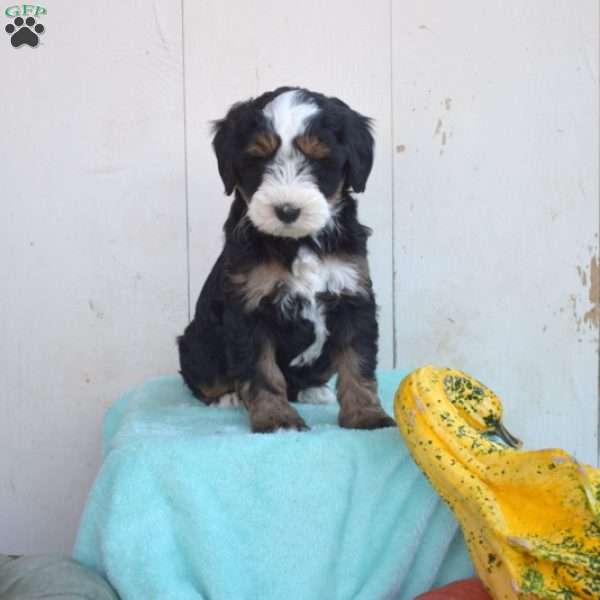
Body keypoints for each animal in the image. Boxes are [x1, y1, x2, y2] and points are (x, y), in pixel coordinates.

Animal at [176, 85, 396, 432]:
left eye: (319, 160)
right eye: (258, 159)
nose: (287, 210)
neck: (299, 242)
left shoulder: (352, 295)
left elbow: (357, 362)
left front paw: (367, 416)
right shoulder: (249, 307)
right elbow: (262, 371)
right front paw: (277, 419)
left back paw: (313, 391)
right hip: (197, 342)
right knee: (204, 378)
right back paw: (227, 397)